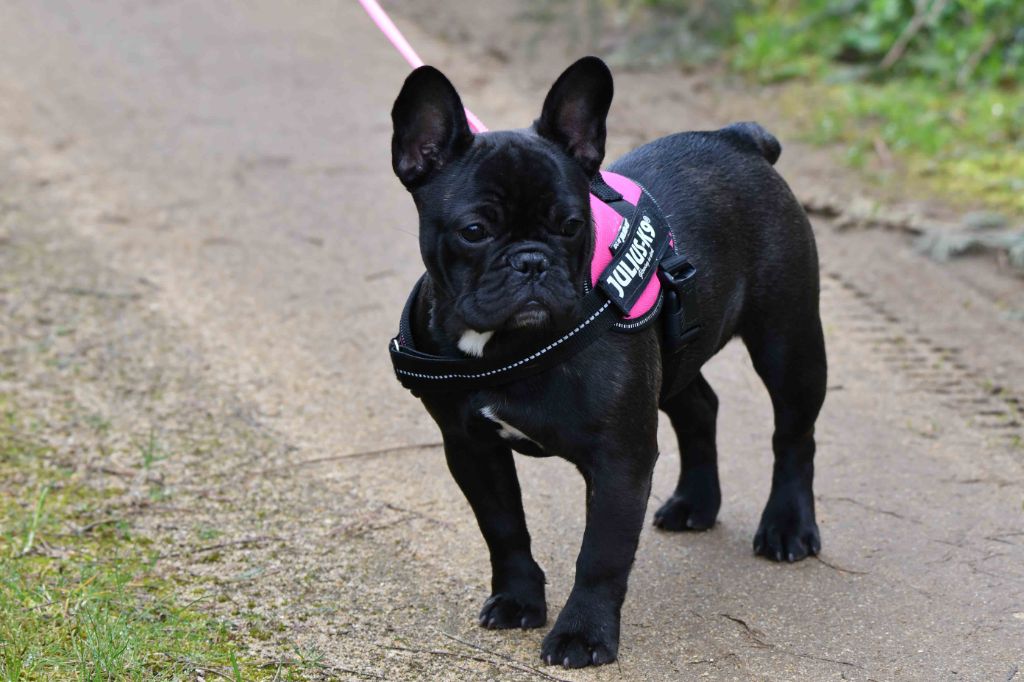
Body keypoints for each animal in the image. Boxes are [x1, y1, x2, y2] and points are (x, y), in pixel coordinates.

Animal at [387, 55, 827, 667]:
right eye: (474, 231)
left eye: (573, 226)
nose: (532, 261)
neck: (507, 346)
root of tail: (737, 139)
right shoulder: (471, 448)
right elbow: (503, 528)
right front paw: (518, 600)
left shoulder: (620, 459)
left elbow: (601, 555)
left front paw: (583, 634)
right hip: (671, 357)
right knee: (700, 407)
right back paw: (695, 503)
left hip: (788, 341)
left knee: (793, 434)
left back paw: (787, 527)